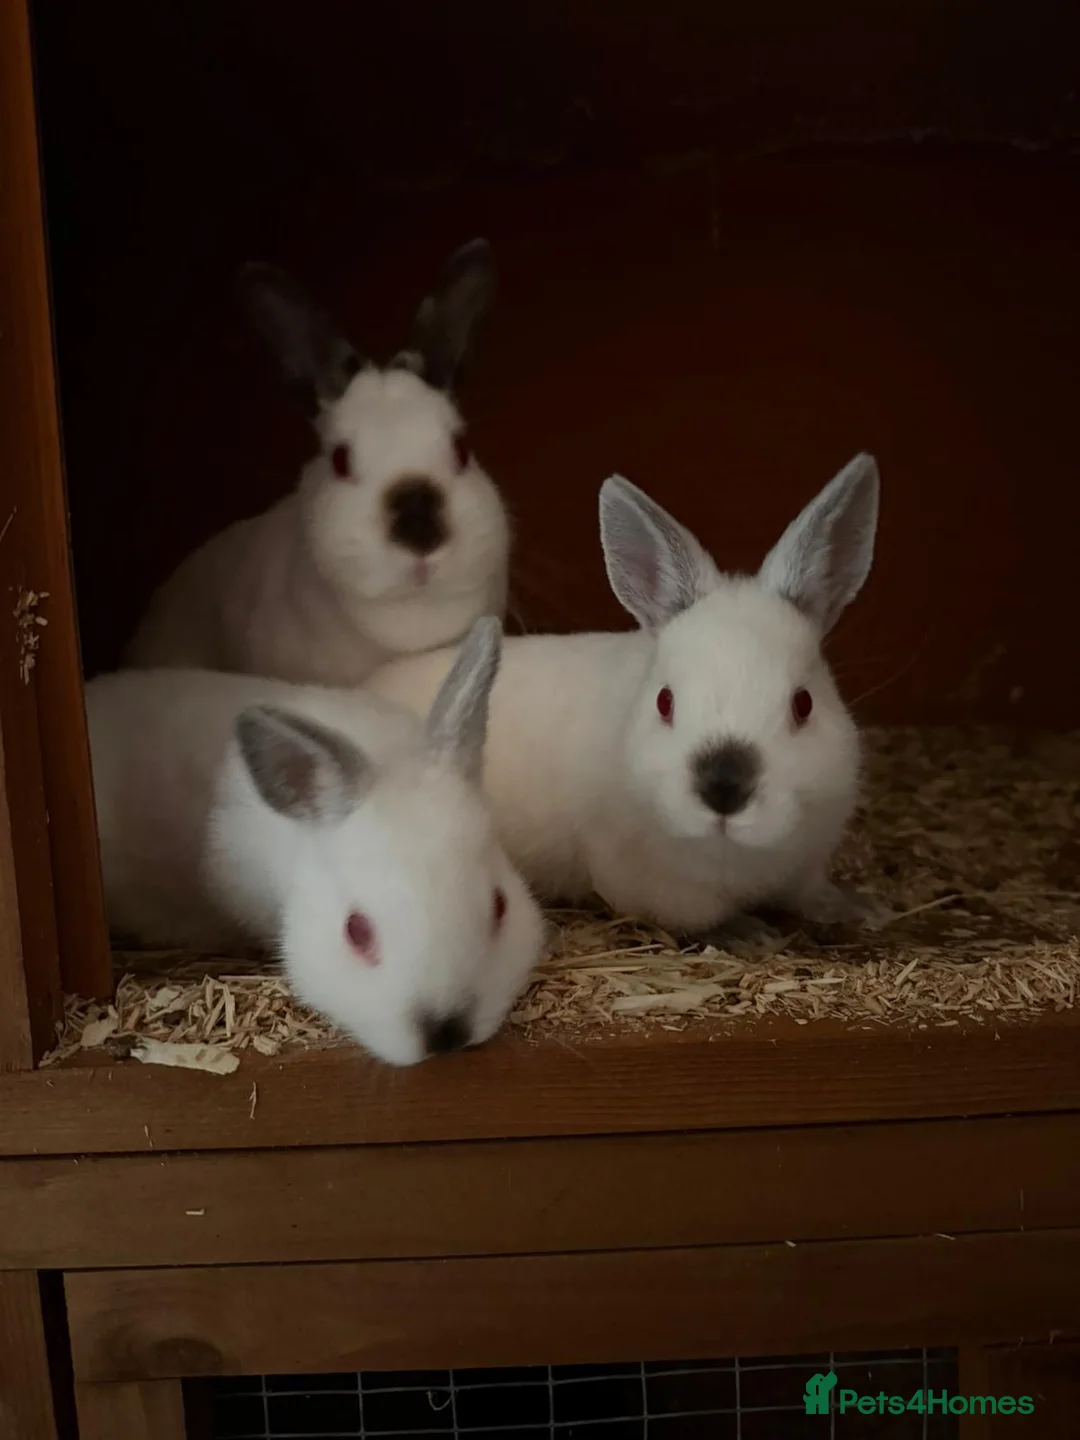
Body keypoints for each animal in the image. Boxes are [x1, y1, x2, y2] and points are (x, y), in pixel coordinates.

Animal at [365, 454, 884, 937]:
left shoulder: (807, 865)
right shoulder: (649, 885)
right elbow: (702, 920)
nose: (723, 786)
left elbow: (811, 894)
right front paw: (751, 934)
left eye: (804, 703)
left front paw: (861, 910)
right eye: (664, 702)